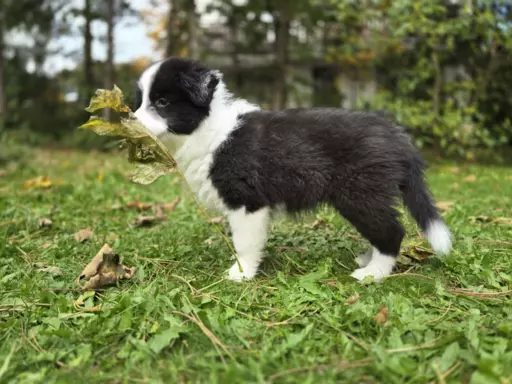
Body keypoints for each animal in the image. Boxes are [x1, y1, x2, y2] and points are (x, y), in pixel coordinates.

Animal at [133, 56, 452, 282]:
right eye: (141, 102)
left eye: (162, 102)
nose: (131, 121)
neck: (209, 128)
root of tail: (396, 136)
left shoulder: (247, 201)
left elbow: (244, 242)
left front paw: (241, 273)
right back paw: (368, 260)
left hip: (360, 193)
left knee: (392, 230)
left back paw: (373, 273)